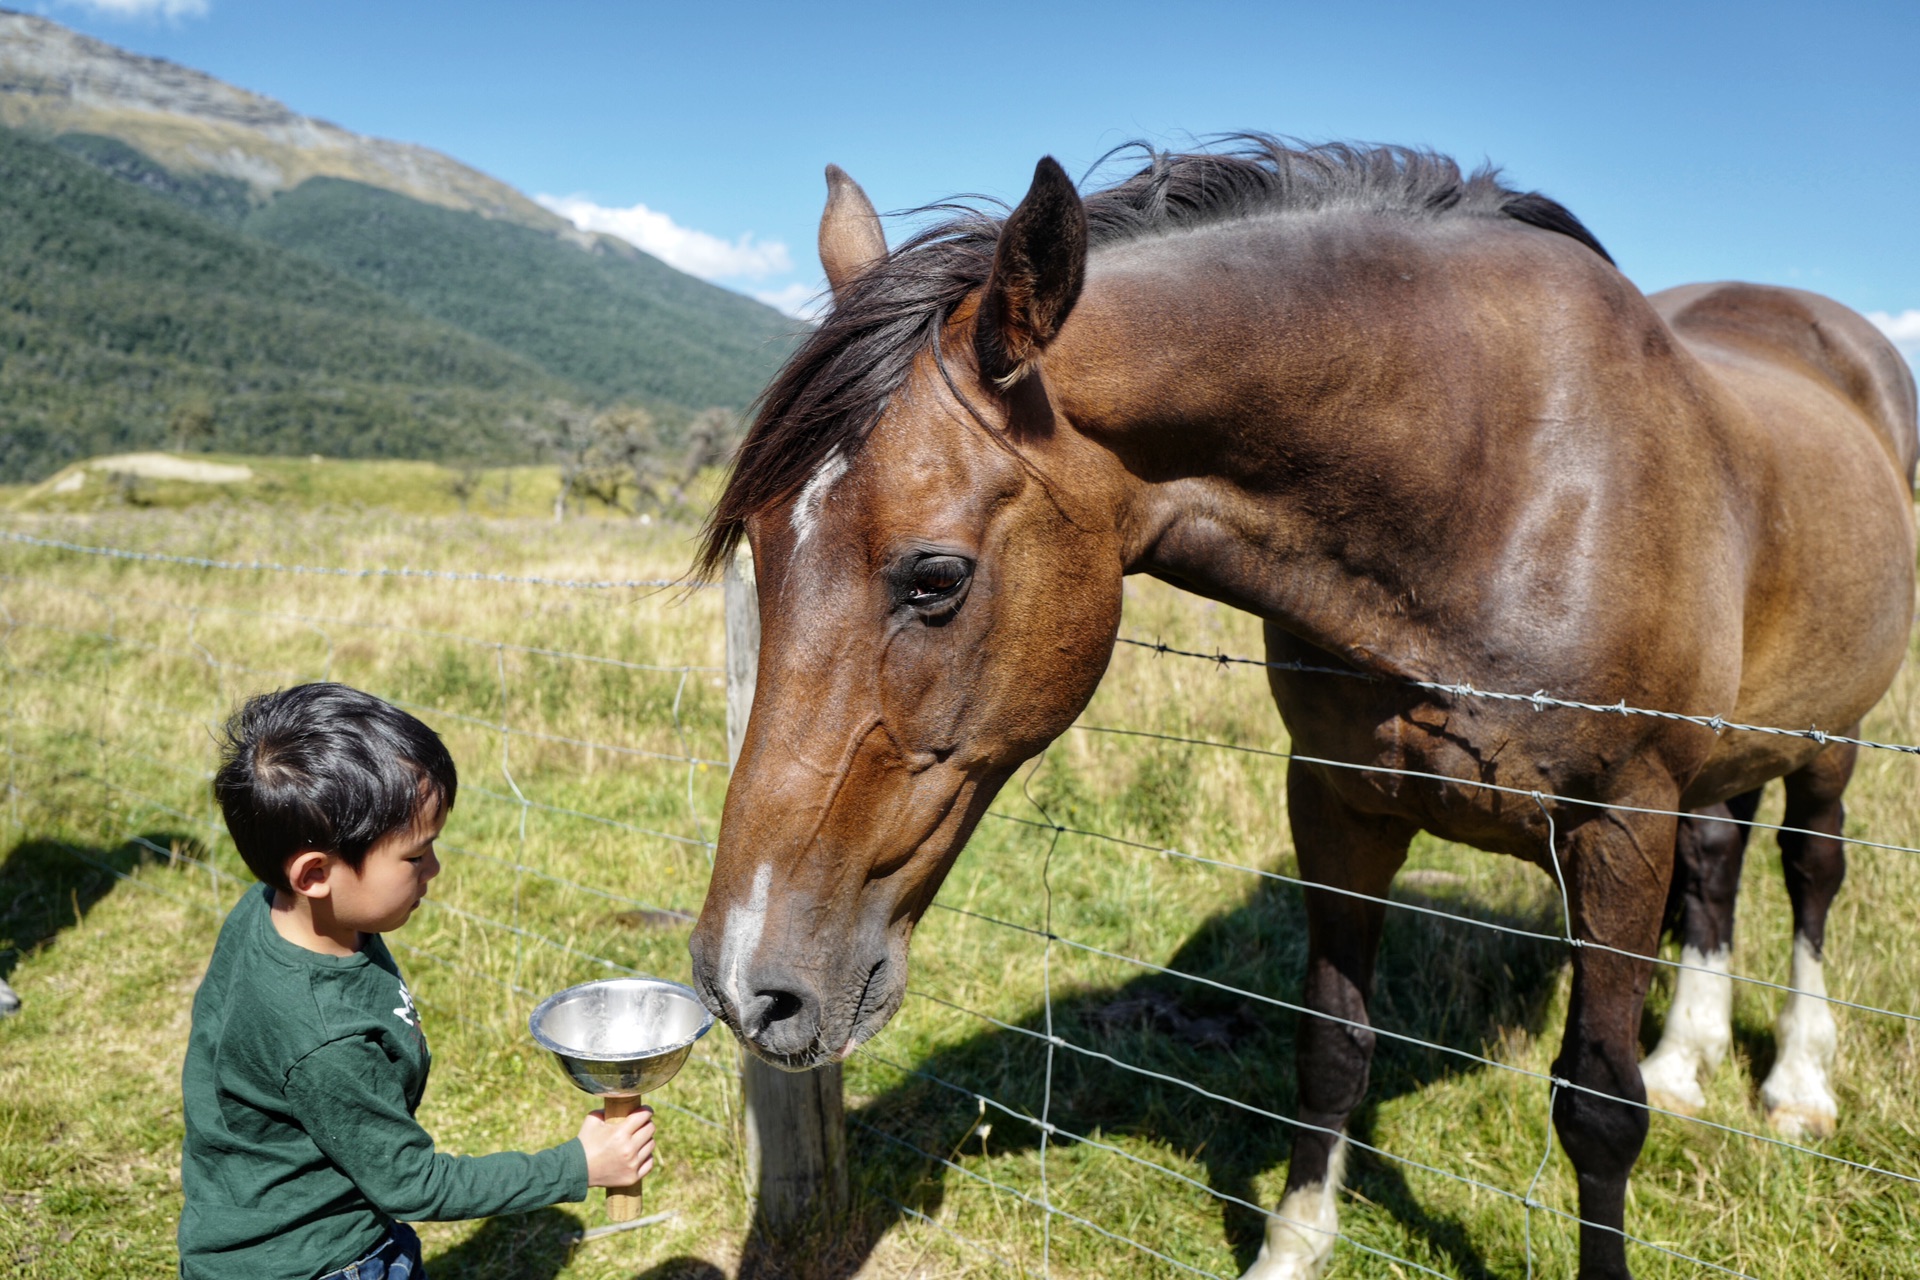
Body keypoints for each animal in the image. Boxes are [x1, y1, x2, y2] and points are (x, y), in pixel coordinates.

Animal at [683, 140, 1912, 1280]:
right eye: (759, 550)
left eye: (935, 578)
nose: (748, 987)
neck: (1499, 481)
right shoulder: (1338, 804)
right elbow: (1331, 1048)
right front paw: (1290, 1246)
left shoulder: (1619, 829)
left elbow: (1599, 1109)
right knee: (1719, 862)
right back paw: (1692, 1052)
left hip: (1831, 744)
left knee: (1810, 871)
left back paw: (1797, 1078)